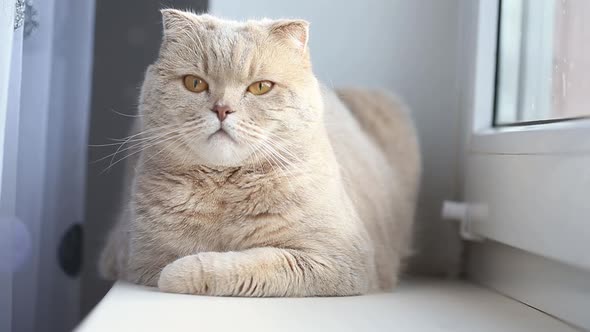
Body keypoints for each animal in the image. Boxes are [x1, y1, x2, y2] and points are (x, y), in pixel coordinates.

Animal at [98, 9, 420, 296]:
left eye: (261, 87)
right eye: (195, 83)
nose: (222, 109)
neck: (225, 190)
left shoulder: (339, 261)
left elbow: (252, 263)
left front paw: (184, 271)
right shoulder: (137, 259)